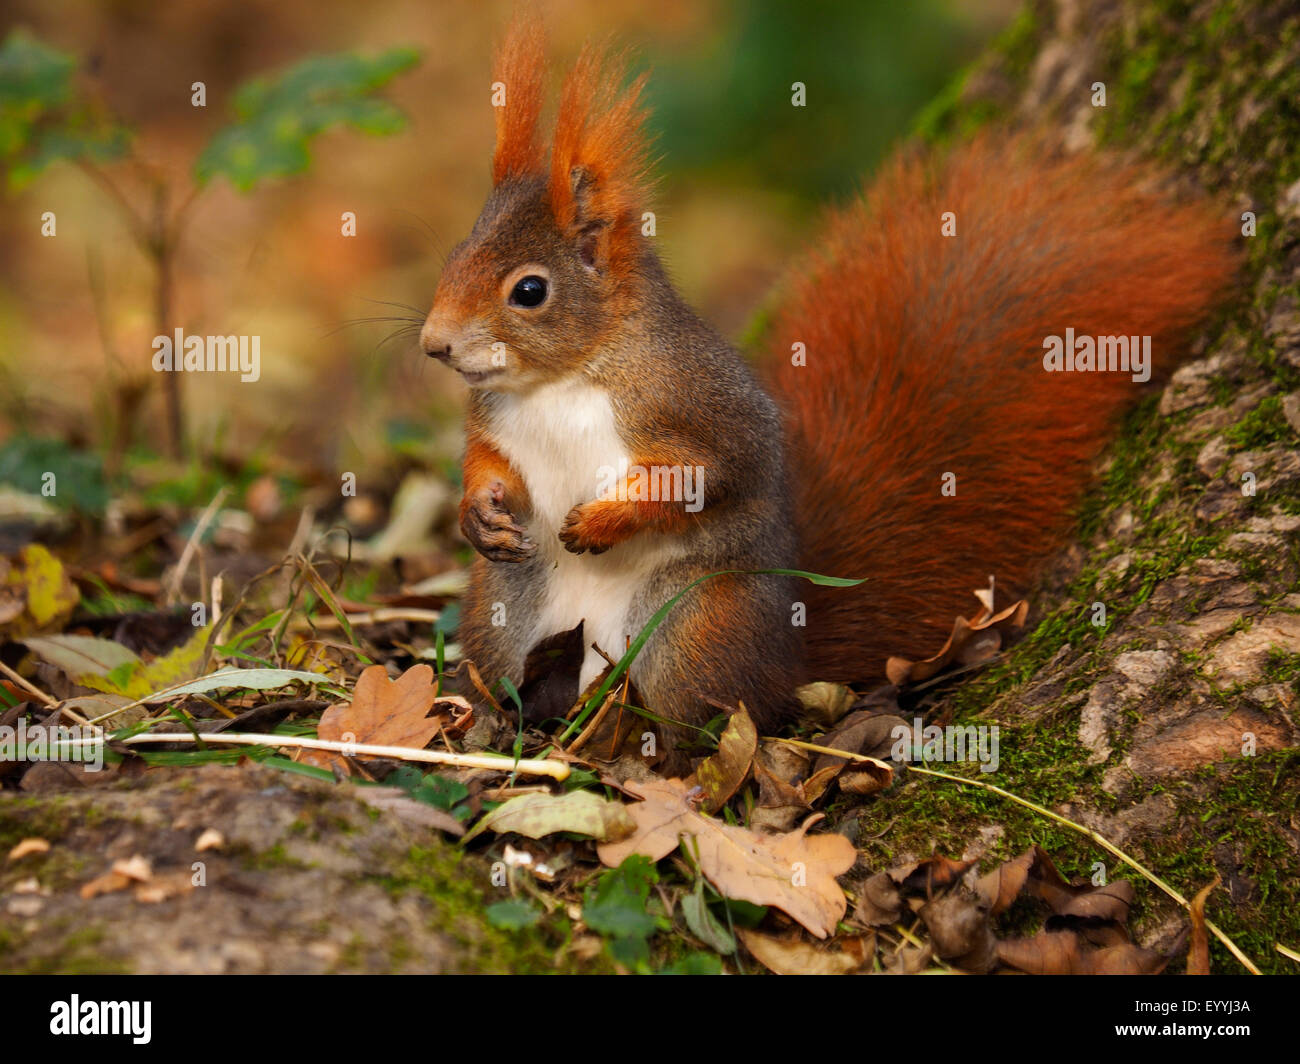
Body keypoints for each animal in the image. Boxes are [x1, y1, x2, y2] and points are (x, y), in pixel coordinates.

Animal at [418, 18, 1239, 764]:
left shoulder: (696, 404)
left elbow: (707, 475)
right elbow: (485, 460)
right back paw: (486, 719)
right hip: (504, 608)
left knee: (702, 718)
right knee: (507, 670)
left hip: (695, 627)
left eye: (529, 290)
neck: (562, 379)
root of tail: (789, 649)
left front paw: (604, 521)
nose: (434, 345)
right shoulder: (495, 418)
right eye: (454, 254)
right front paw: (479, 512)